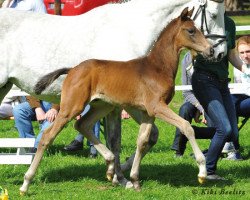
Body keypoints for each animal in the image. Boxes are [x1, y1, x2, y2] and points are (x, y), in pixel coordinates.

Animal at [0, 0, 225, 195]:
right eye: (192, 30)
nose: (215, 51)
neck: (156, 66)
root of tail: (72, 69)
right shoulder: (153, 107)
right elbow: (185, 127)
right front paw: (202, 172)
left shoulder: (146, 111)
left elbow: (143, 139)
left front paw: (130, 177)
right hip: (72, 107)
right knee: (48, 136)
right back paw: (26, 183)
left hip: (99, 105)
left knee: (82, 125)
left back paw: (108, 165)